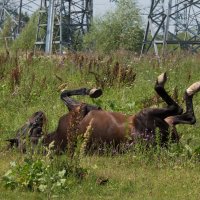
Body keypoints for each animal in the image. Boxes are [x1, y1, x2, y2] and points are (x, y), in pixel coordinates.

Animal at [7, 72, 200, 152]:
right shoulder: (78, 111)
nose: (38, 113)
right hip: (147, 114)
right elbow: (69, 97)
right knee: (181, 110)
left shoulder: (78, 108)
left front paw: (93, 90)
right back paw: (171, 83)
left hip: (169, 120)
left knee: (188, 116)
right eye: (29, 126)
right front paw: (93, 92)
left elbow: (64, 94)